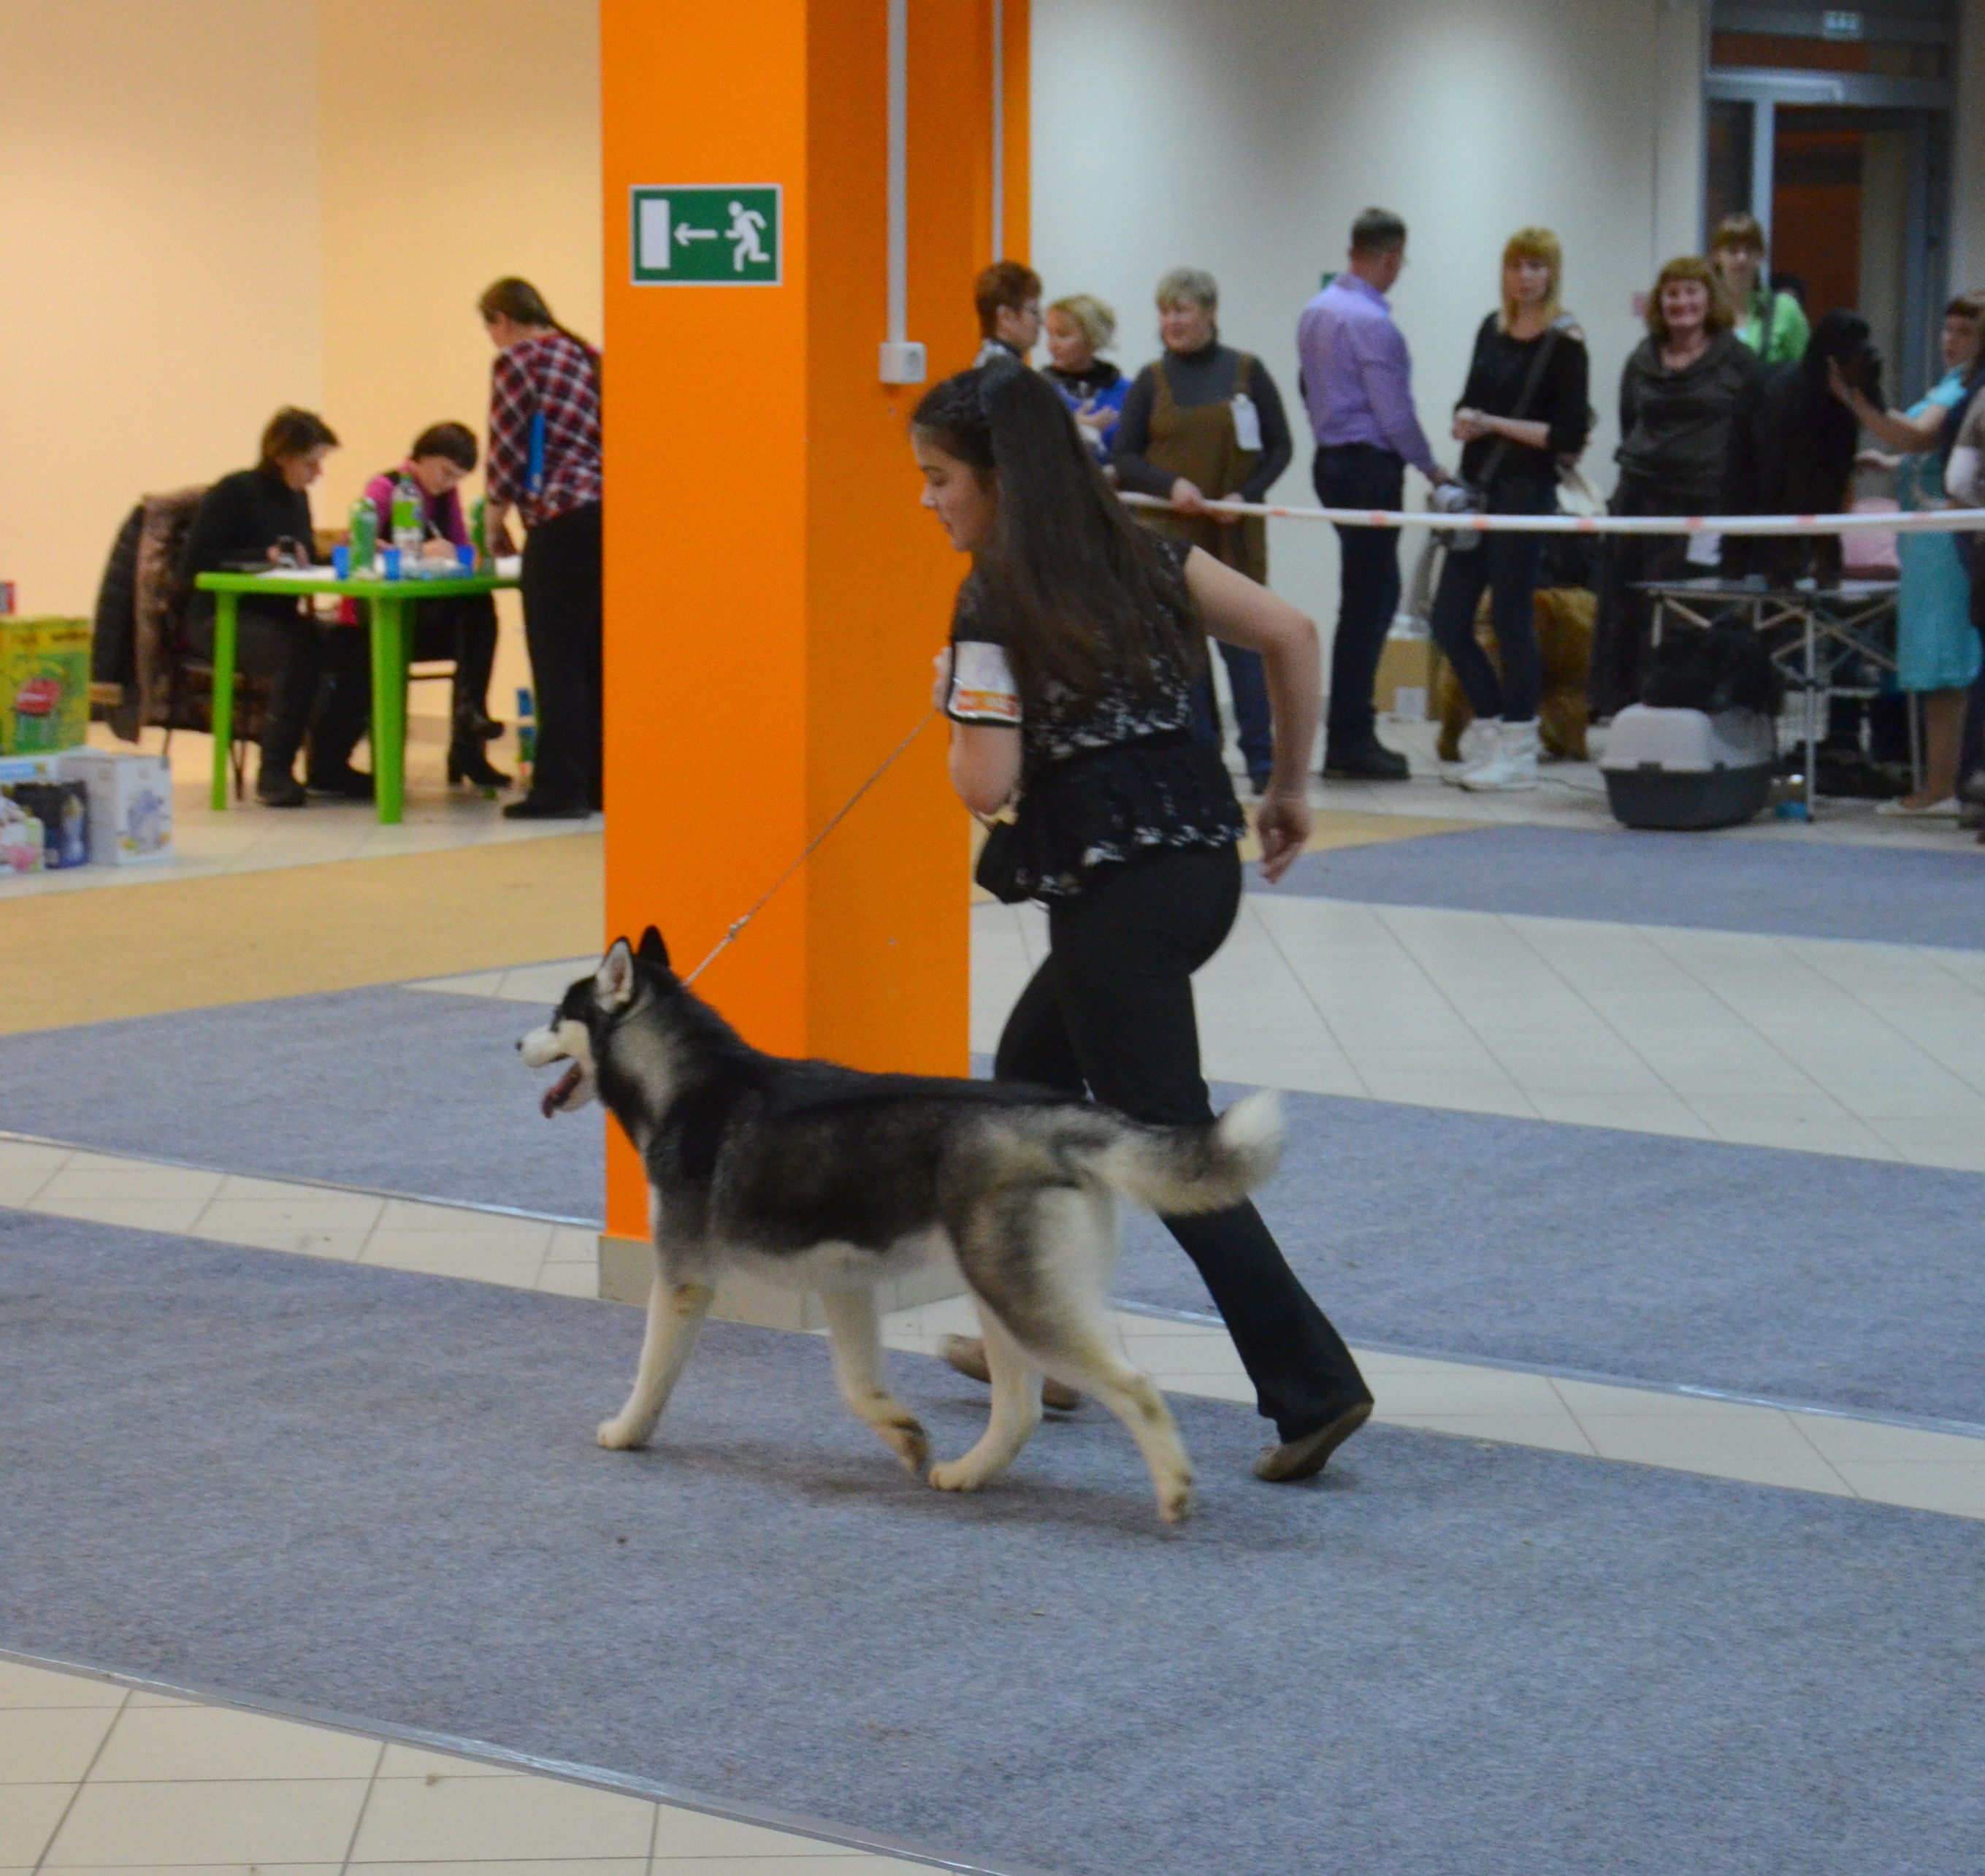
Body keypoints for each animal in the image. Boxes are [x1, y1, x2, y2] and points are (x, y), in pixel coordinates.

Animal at [519, 928, 1286, 1524]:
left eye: (559, 1015)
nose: (516, 1039)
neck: (686, 1084)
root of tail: (1055, 1114)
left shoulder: (683, 1275)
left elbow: (652, 1370)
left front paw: (627, 1430)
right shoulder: (844, 1284)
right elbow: (858, 1386)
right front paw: (905, 1436)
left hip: (1022, 1300)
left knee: (1136, 1388)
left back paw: (1174, 1491)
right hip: (1003, 1294)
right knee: (1020, 1410)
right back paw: (968, 1472)